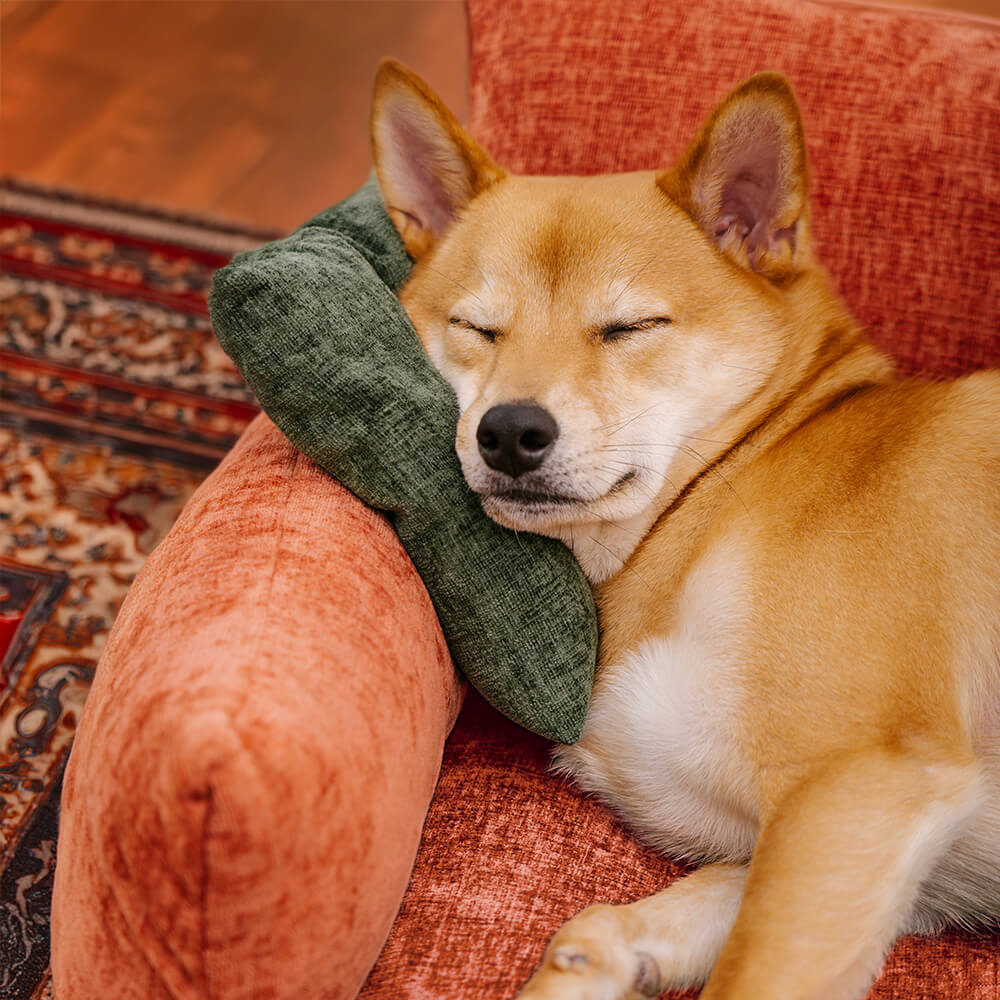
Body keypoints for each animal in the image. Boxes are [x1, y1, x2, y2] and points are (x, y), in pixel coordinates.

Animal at [370, 58, 1000, 996]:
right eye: (478, 328)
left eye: (629, 327)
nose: (509, 432)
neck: (717, 494)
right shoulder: (877, 855)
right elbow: (601, 929)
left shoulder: (861, 787)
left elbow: (752, 971)